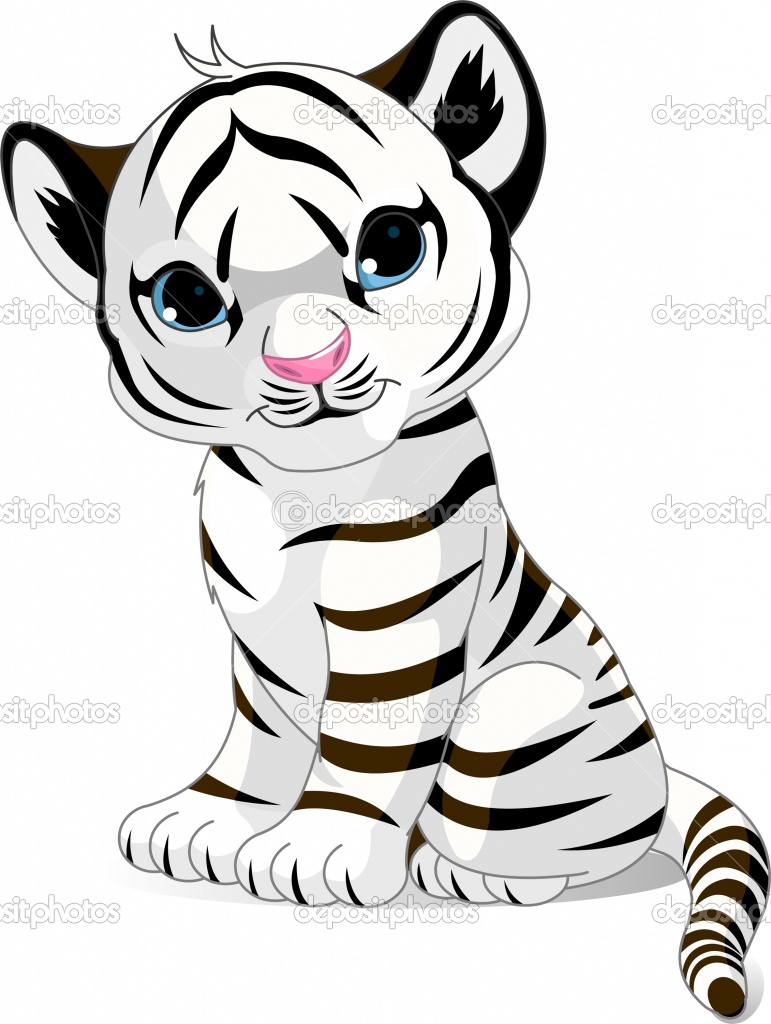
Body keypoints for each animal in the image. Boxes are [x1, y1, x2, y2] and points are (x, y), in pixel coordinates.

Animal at [2, 3, 766, 1016]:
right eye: (188, 298)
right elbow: (259, 730)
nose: (305, 363)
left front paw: (314, 846)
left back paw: (469, 873)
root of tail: (661, 775)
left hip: (518, 720)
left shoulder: (396, 617)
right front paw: (208, 818)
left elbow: (366, 740)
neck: (292, 489)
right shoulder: (252, 633)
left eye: (391, 247)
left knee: (574, 843)